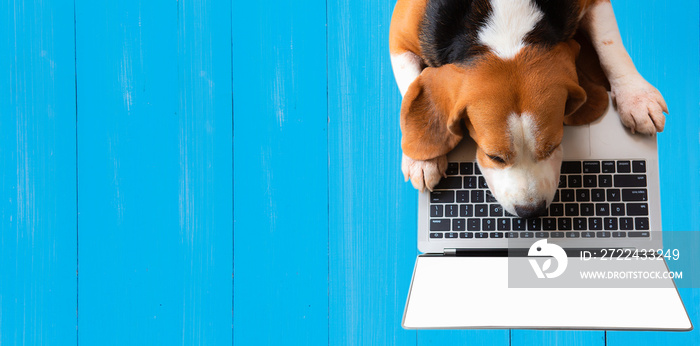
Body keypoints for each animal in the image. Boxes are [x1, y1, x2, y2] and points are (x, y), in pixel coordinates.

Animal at [388, 0, 668, 219]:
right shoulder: (398, 37)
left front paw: (636, 97)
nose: (531, 212)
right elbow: (410, 83)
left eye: (553, 146)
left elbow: (609, 42)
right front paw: (422, 160)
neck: (506, 25)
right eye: (494, 157)